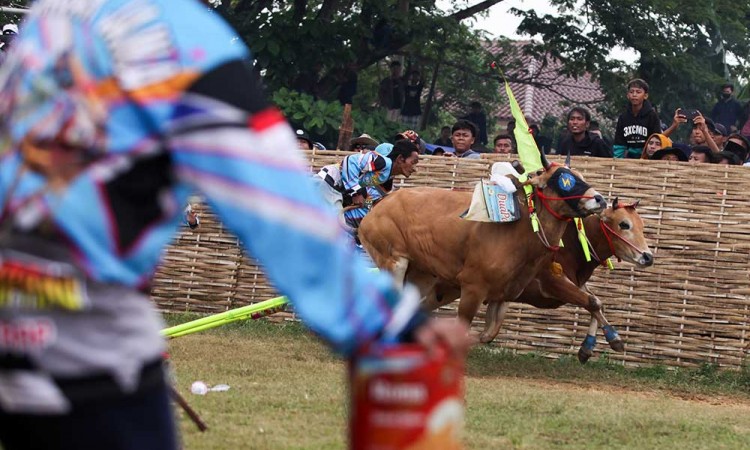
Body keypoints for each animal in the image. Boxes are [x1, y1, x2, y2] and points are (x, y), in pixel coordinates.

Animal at [360, 163, 612, 342]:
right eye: (565, 181)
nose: (600, 199)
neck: (521, 227)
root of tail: (380, 204)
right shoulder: (473, 288)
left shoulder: (504, 294)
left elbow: (489, 333)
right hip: (394, 262)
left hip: (422, 275)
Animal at [424, 199, 652, 364]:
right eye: (624, 224)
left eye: (642, 226)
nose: (648, 257)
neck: (571, 244)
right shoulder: (552, 283)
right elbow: (593, 302)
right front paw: (614, 339)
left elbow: (595, 302)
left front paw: (587, 349)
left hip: (444, 292)